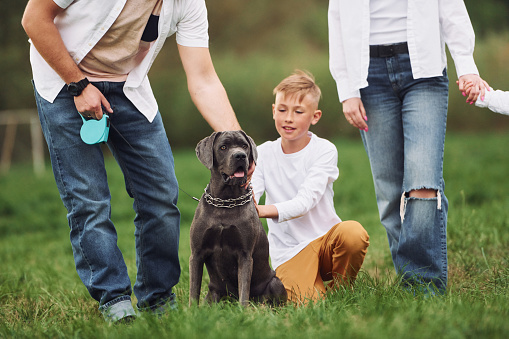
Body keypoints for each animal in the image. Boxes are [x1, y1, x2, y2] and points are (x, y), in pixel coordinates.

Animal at [190, 131, 288, 306]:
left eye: (244, 146)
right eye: (223, 147)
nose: (240, 156)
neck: (225, 201)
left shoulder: (244, 254)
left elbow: (244, 289)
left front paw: (243, 310)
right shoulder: (196, 253)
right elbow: (194, 289)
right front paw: (191, 310)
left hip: (275, 282)